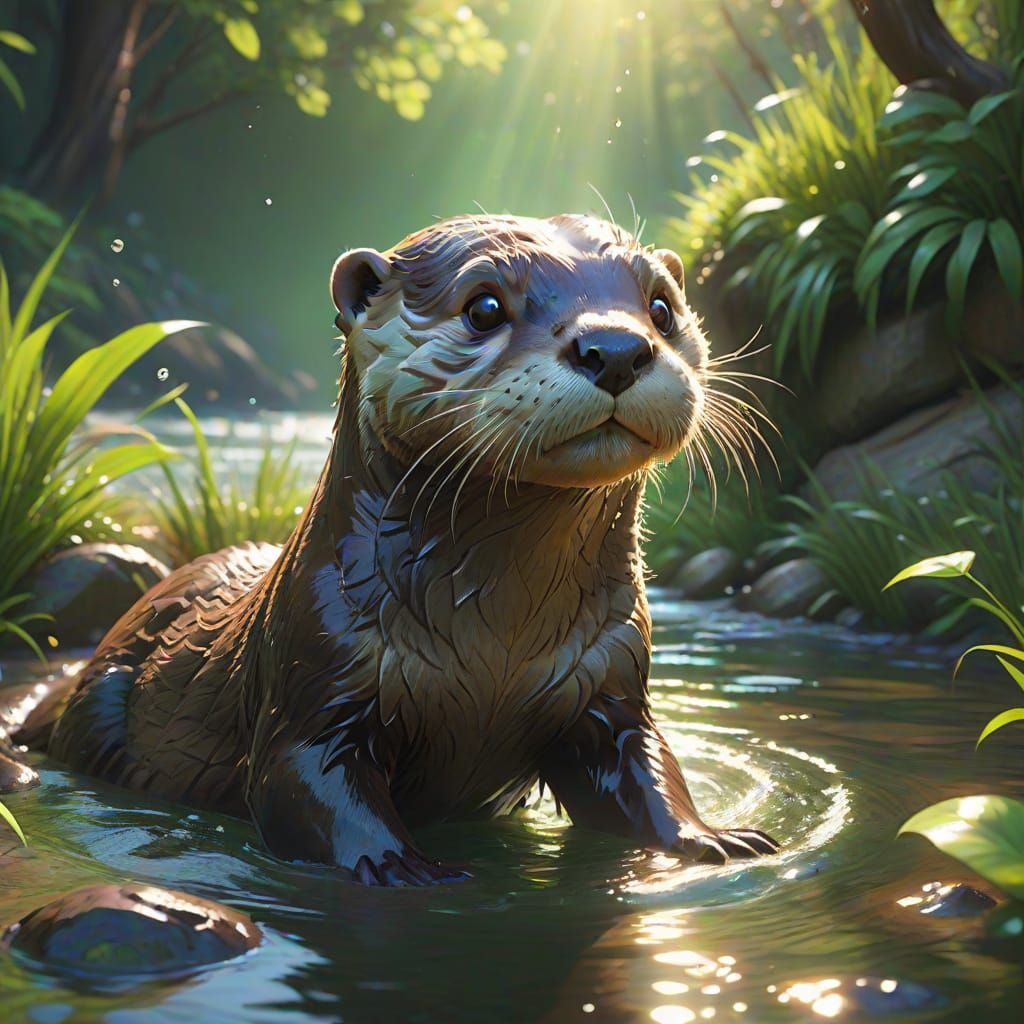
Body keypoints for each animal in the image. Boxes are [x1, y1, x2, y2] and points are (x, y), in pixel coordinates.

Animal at [6, 214, 778, 885]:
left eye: (662, 307)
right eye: (484, 306)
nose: (615, 348)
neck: (497, 639)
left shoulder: (611, 677)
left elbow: (646, 766)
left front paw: (710, 837)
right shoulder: (315, 669)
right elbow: (300, 782)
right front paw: (396, 864)